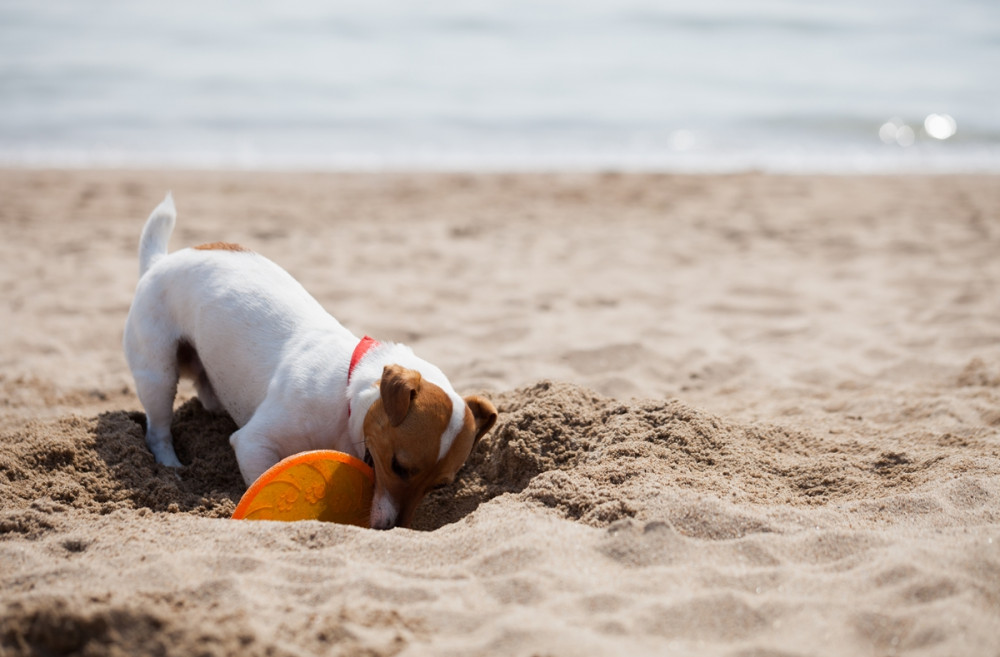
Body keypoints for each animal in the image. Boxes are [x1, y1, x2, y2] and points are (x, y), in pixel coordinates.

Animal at [123, 193, 498, 528]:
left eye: (440, 485)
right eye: (398, 466)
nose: (395, 528)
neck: (347, 392)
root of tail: (160, 262)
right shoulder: (253, 442)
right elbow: (260, 478)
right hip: (157, 373)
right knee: (158, 429)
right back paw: (171, 466)